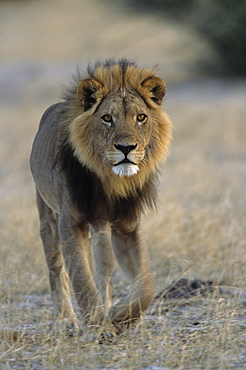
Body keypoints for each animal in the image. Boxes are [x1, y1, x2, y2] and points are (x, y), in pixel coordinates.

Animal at [29, 58, 172, 338]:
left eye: (141, 117)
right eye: (107, 118)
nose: (126, 148)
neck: (111, 181)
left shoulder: (126, 226)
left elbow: (146, 286)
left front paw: (118, 318)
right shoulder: (71, 222)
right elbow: (81, 279)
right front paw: (96, 325)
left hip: (100, 228)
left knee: (103, 270)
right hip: (49, 216)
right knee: (57, 267)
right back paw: (67, 320)